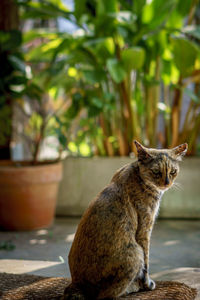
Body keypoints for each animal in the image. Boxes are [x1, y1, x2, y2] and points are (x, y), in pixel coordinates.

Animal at [62, 141, 188, 300]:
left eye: (173, 172)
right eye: (156, 171)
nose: (167, 183)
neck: (138, 175)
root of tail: (77, 285)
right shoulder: (145, 229)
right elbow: (146, 263)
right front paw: (147, 285)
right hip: (135, 253)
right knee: (107, 294)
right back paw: (132, 288)